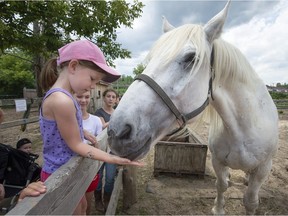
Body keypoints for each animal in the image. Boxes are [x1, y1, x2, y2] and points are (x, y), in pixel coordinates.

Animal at [107, 1, 278, 214]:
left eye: (191, 58)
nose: (117, 132)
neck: (242, 128)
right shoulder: (218, 162)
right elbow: (221, 185)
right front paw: (218, 209)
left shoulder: (262, 169)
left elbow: (251, 201)